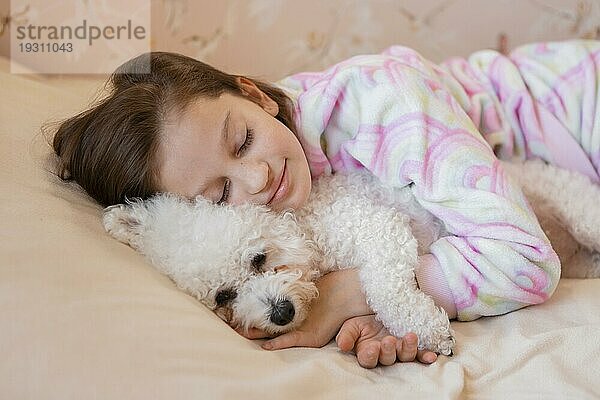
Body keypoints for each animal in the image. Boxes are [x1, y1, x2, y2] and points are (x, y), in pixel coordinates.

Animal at [102, 159, 600, 356]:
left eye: (259, 259)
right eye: (223, 296)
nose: (280, 313)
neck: (308, 227)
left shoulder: (378, 227)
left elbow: (388, 286)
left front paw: (429, 331)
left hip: (579, 213)